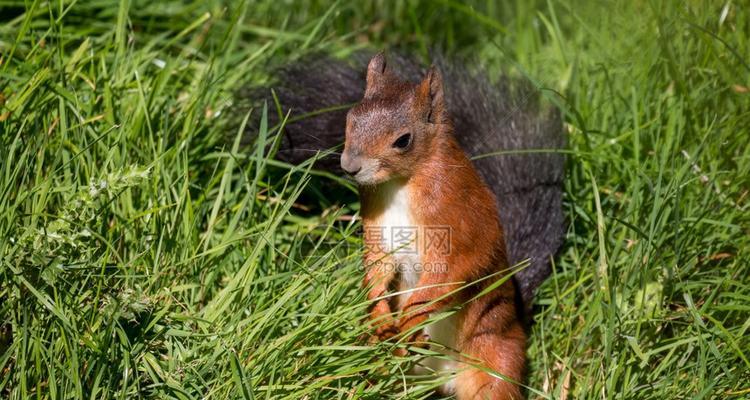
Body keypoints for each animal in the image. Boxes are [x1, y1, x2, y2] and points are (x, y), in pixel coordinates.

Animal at [344, 52, 524, 396]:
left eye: (403, 140)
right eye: (349, 118)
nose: (350, 166)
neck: (401, 183)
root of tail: (444, 380)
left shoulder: (458, 221)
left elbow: (451, 272)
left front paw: (411, 320)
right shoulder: (379, 228)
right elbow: (377, 268)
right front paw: (381, 318)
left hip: (495, 359)